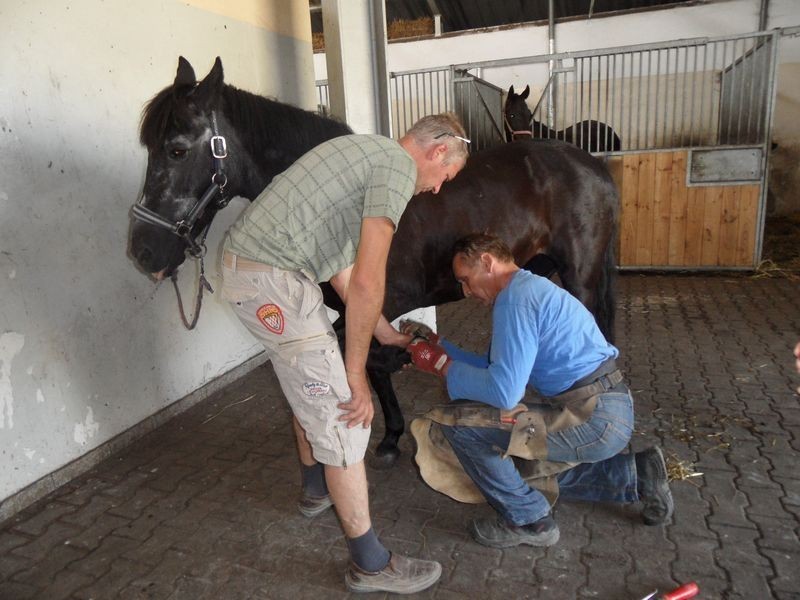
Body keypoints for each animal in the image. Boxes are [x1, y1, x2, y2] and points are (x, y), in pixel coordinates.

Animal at [130, 56, 620, 466]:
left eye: (176, 149)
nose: (142, 251)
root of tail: (591, 164)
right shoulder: (354, 306)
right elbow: (370, 359)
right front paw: (390, 434)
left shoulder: (386, 298)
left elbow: (369, 359)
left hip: (580, 274)